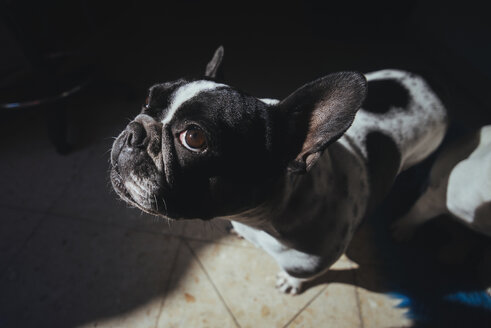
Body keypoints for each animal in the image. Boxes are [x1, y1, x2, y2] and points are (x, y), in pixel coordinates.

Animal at [109, 46, 448, 294]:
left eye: (194, 138)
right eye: (147, 99)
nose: (134, 131)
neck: (262, 220)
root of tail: (430, 83)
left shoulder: (310, 262)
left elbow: (297, 274)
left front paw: (291, 283)